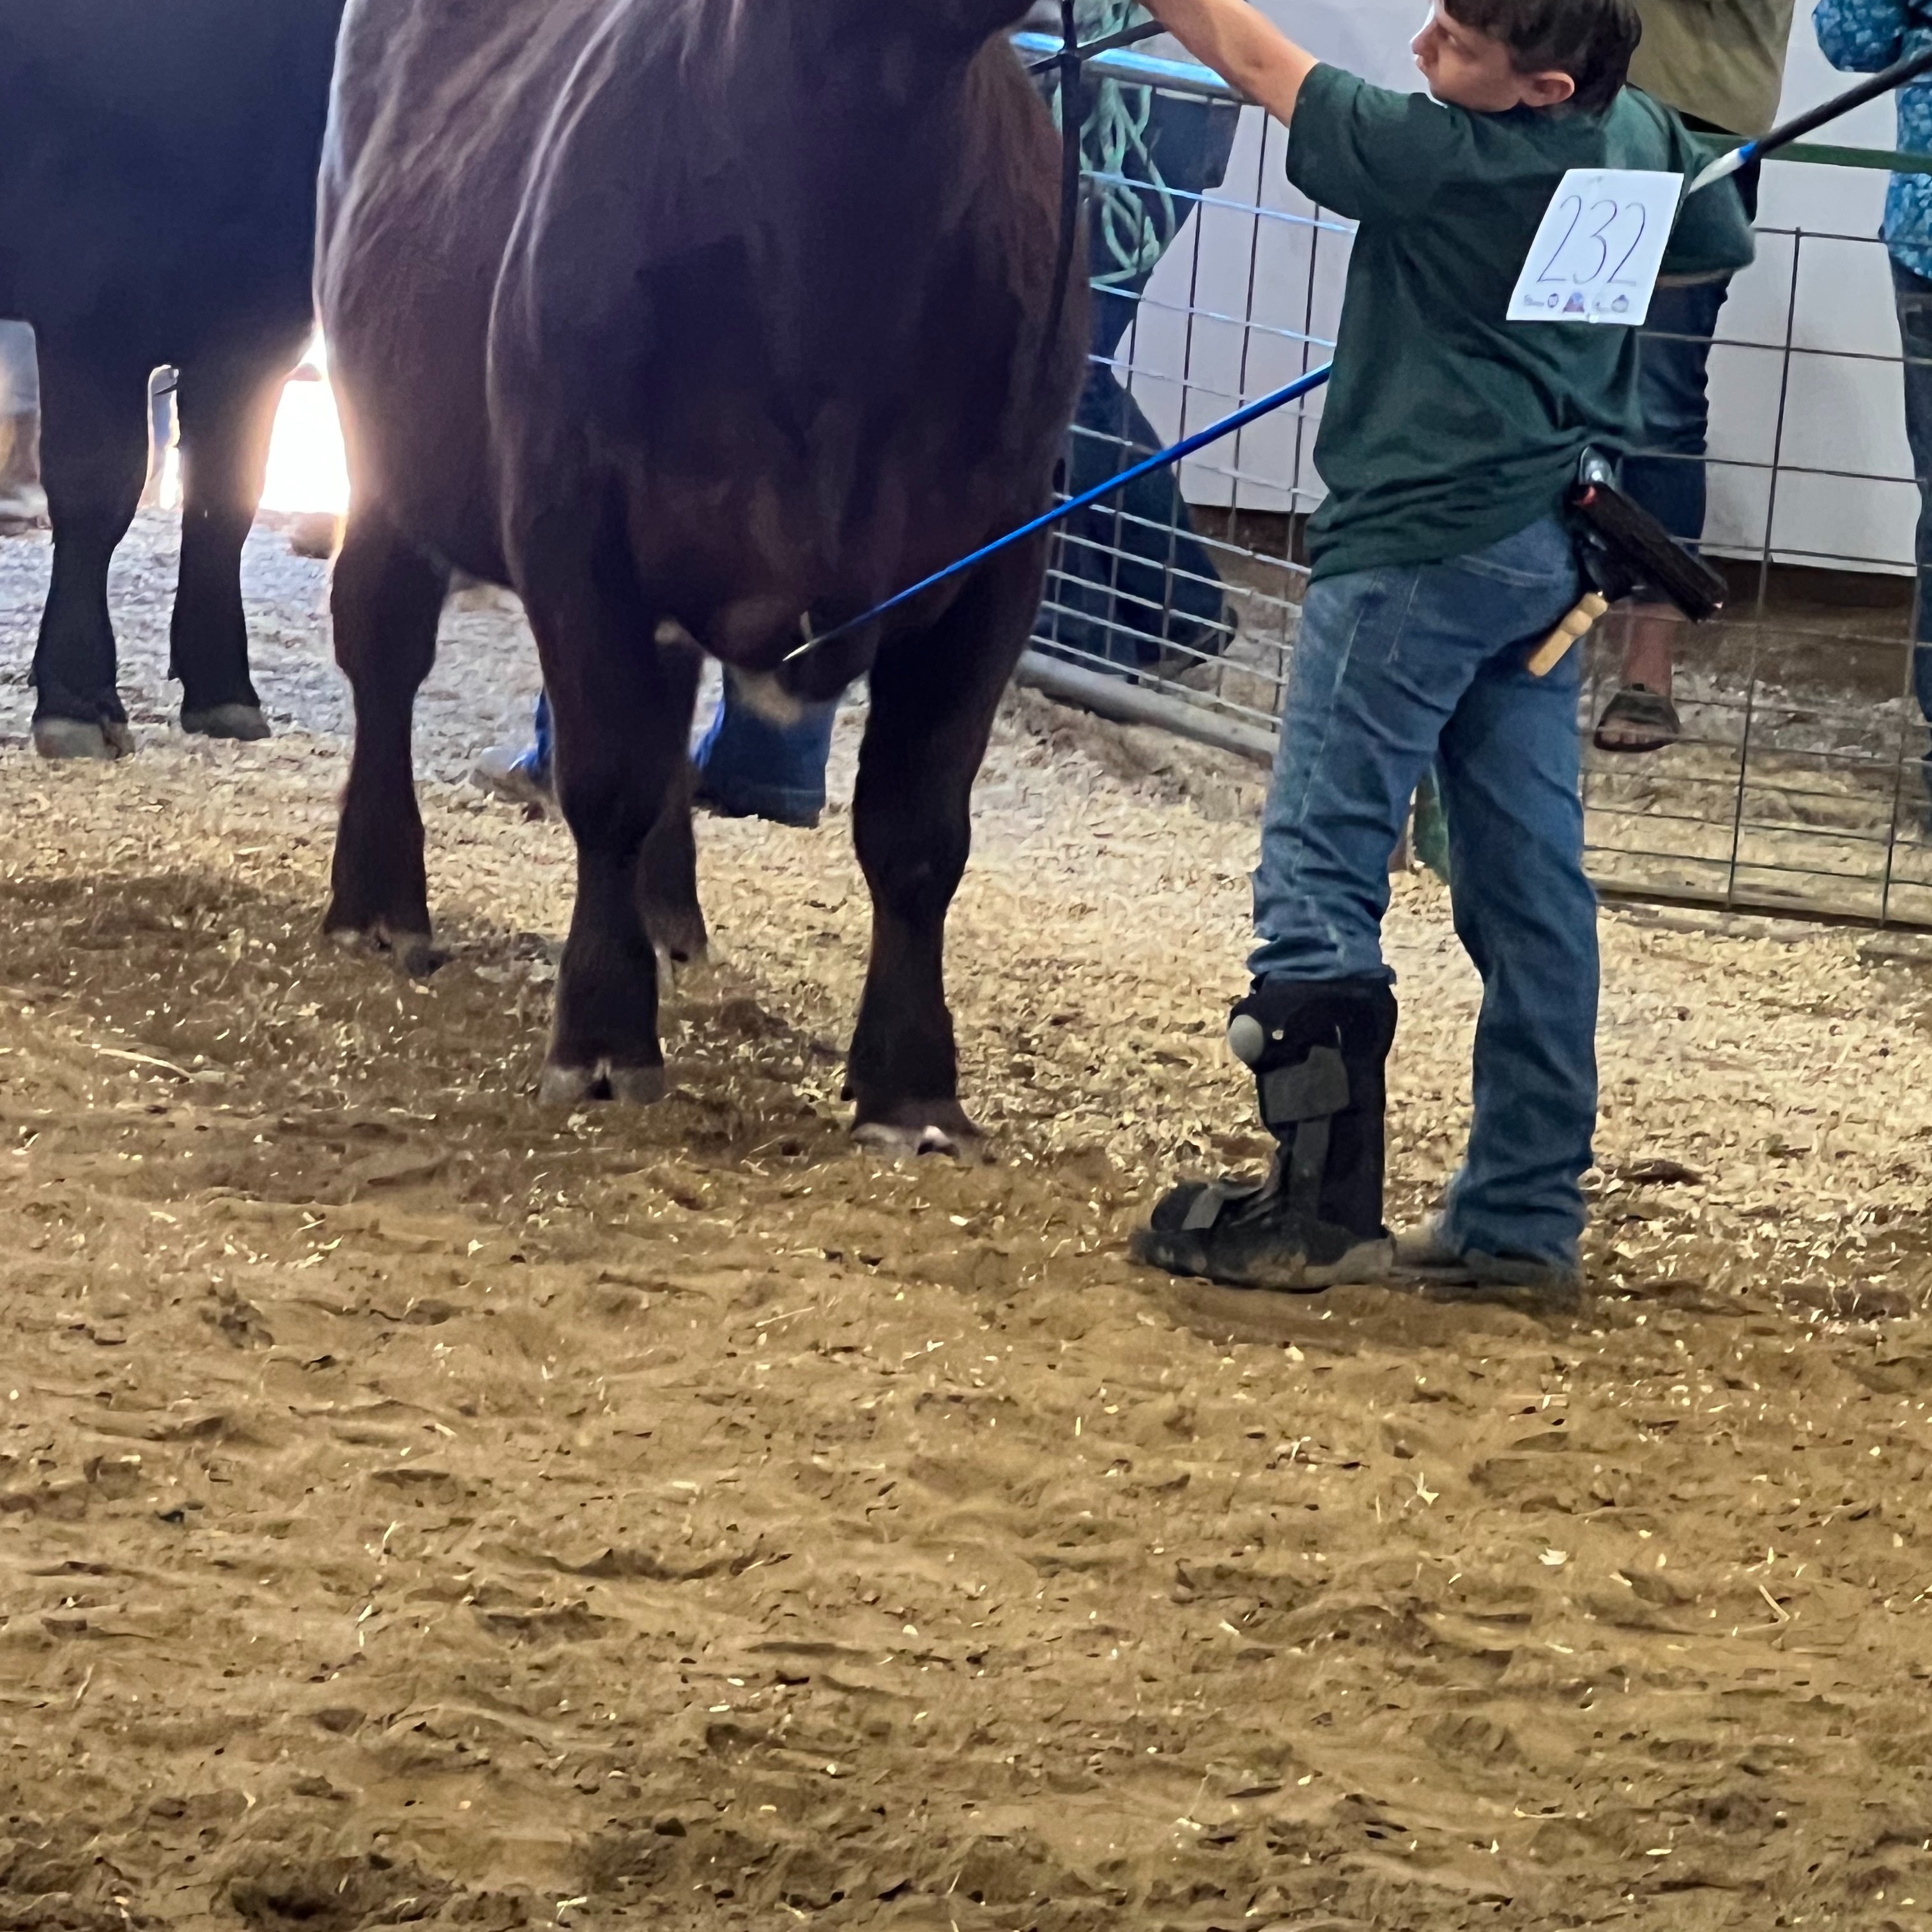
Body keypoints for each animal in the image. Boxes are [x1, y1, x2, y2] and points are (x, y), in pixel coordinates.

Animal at [325, 0, 1097, 1144]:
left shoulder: (1002, 553)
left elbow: (918, 829)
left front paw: (913, 1087)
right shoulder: (570, 516)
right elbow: (605, 780)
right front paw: (603, 1038)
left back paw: (669, 916)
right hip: (381, 443)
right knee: (383, 650)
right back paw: (378, 908)